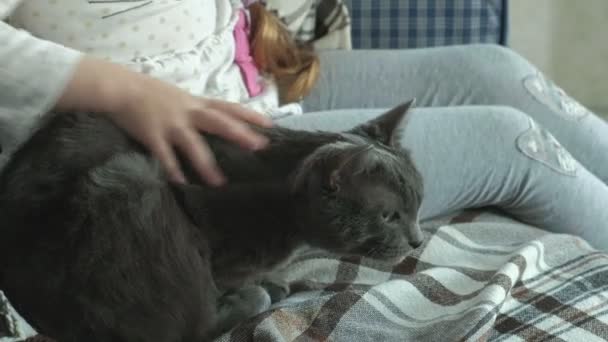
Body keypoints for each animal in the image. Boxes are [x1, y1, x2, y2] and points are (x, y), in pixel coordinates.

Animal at [0, 100, 426, 340]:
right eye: (389, 216)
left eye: (419, 203)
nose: (418, 240)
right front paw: (262, 286)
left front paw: (274, 279)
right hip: (127, 177)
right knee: (187, 328)